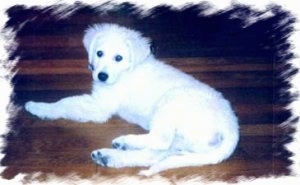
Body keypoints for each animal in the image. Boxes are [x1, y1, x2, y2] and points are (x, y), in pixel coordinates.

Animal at [24, 23, 238, 176]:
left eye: (118, 58)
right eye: (99, 53)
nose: (101, 76)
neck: (127, 71)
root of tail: (231, 126)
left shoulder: (100, 106)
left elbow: (65, 103)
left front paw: (38, 107)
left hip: (171, 102)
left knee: (161, 139)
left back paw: (124, 141)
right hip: (184, 143)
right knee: (153, 154)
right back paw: (110, 156)